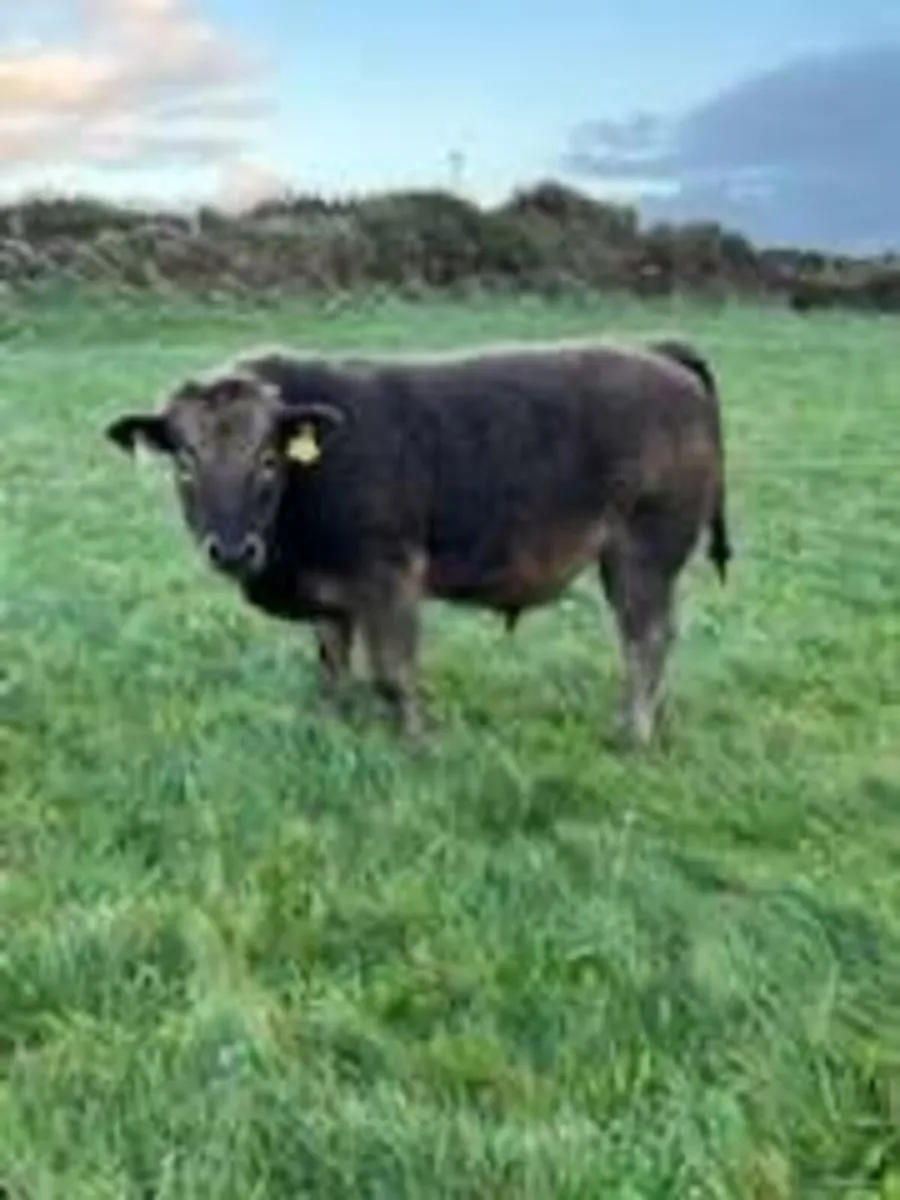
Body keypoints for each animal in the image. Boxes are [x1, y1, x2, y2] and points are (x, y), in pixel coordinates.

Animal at [102, 334, 731, 748]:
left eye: (268, 457)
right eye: (185, 461)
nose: (232, 550)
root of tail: (658, 354)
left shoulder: (391, 579)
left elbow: (393, 672)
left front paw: (416, 743)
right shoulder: (329, 595)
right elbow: (332, 665)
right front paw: (333, 725)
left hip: (643, 554)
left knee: (646, 640)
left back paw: (633, 734)